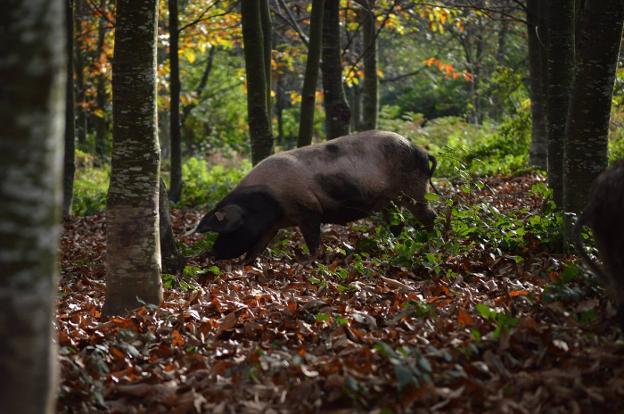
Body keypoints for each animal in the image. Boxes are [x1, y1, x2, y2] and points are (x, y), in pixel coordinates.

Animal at [197, 129, 436, 262]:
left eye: (230, 229)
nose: (212, 253)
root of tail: (421, 150)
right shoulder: (271, 226)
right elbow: (256, 249)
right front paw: (245, 265)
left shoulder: (308, 210)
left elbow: (313, 240)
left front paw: (308, 262)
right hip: (390, 201)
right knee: (398, 222)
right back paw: (395, 243)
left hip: (414, 189)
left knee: (429, 215)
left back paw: (431, 241)